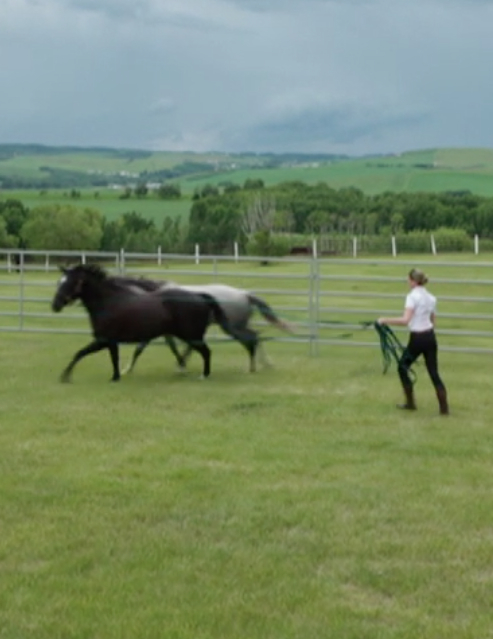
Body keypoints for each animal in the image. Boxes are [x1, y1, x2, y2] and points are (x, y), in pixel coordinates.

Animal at [50, 264, 246, 382]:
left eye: (69, 282)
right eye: (59, 282)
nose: (55, 305)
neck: (108, 302)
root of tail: (200, 296)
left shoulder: (102, 340)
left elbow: (79, 353)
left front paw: (65, 376)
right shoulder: (110, 342)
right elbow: (113, 358)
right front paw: (116, 377)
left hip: (192, 335)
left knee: (206, 352)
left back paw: (203, 375)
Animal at [116, 276, 292, 376]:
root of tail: (245, 295)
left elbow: (140, 349)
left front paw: (126, 370)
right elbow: (175, 348)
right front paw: (181, 365)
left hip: (233, 327)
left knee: (252, 338)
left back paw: (255, 367)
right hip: (238, 325)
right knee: (256, 337)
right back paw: (264, 364)